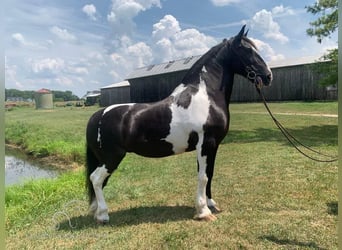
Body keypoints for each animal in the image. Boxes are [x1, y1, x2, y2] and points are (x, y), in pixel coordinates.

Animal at [85, 25, 272, 224]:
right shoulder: (206, 144)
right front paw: (203, 211)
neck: (206, 95)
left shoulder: (212, 146)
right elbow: (203, 177)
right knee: (96, 179)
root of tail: (98, 115)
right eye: (247, 50)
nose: (268, 76)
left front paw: (211, 204)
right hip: (111, 158)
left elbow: (210, 174)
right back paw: (103, 215)